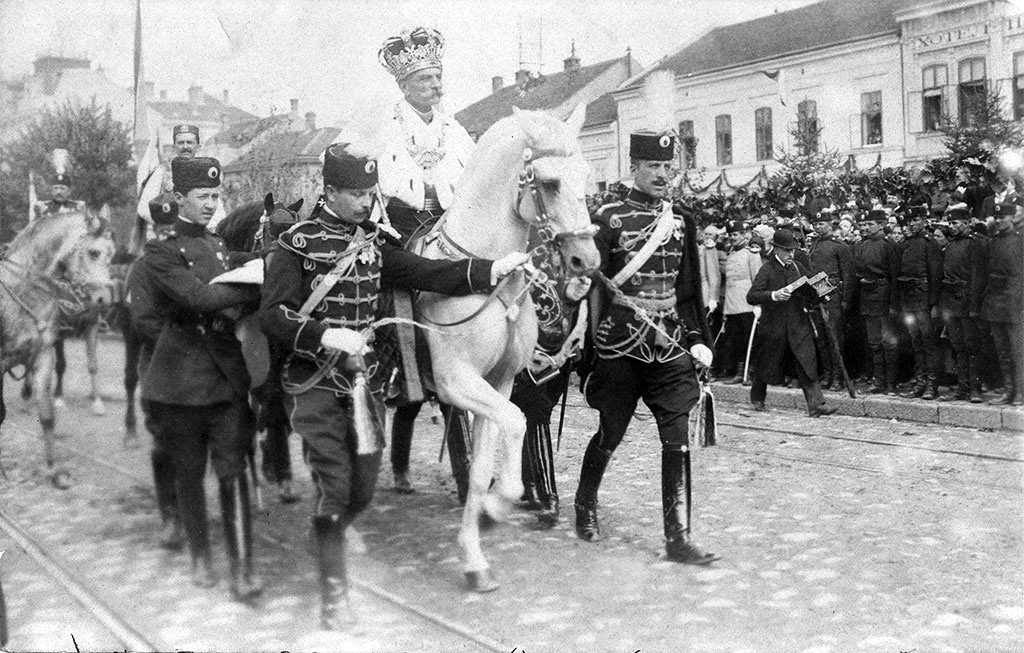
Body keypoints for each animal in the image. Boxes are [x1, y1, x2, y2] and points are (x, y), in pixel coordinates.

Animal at [415, 107, 602, 593]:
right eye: (550, 183)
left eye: (587, 175)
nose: (588, 262)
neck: (486, 272)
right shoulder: (456, 380)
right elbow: (517, 422)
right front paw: (500, 506)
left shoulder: (496, 382)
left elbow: (484, 466)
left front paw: (475, 552)